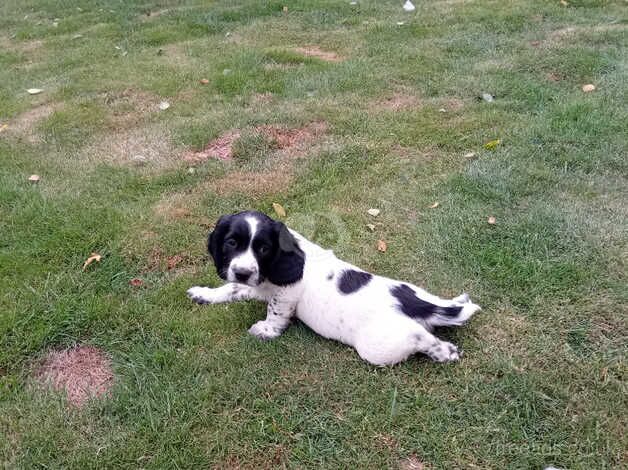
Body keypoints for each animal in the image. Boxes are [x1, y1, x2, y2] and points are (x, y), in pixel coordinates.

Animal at [186, 210, 480, 368]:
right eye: (231, 242)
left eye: (263, 248)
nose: (243, 272)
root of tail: (408, 302)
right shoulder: (258, 285)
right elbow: (230, 290)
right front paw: (204, 293)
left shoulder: (285, 293)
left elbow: (275, 313)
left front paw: (266, 331)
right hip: (417, 294)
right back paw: (457, 300)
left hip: (379, 347)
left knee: (423, 338)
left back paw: (446, 352)